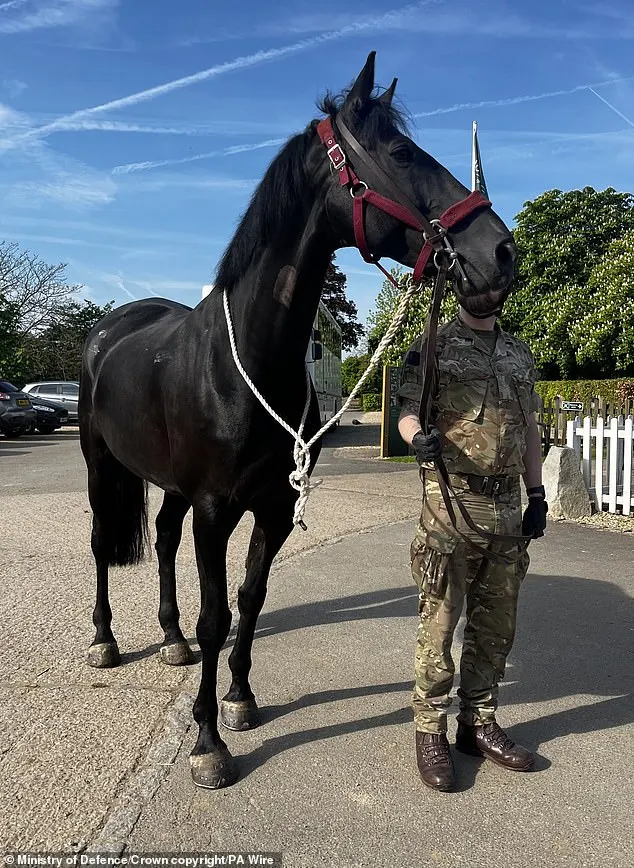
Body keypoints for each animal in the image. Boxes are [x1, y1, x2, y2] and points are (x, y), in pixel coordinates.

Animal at [79, 50, 512, 792]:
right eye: (401, 151)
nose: (500, 251)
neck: (244, 364)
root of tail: (109, 330)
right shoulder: (216, 510)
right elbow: (218, 614)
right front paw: (208, 743)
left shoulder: (273, 509)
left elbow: (250, 600)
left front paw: (240, 697)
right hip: (101, 466)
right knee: (103, 545)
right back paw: (106, 638)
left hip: (169, 487)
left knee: (160, 541)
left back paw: (170, 640)